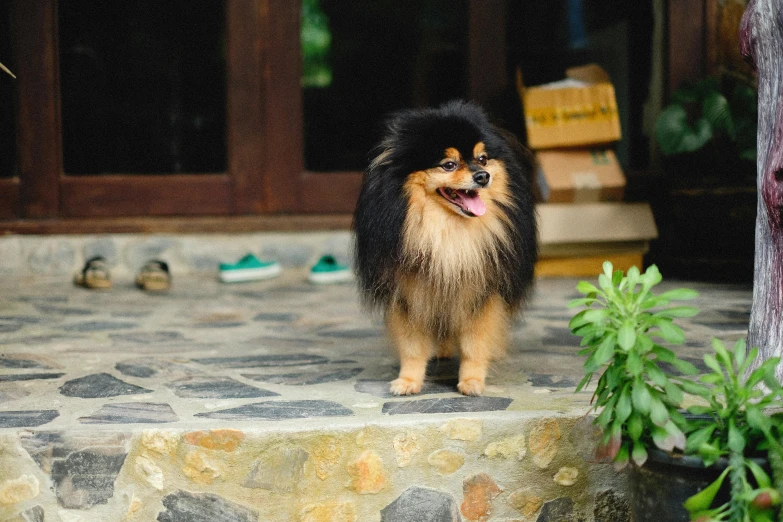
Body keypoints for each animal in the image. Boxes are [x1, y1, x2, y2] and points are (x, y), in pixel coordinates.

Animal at [356, 98, 536, 394]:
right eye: (449, 165)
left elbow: (475, 342)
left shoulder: (480, 292)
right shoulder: (411, 293)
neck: (448, 233)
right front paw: (408, 381)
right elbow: (412, 346)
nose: (483, 176)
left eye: (482, 159)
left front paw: (472, 381)